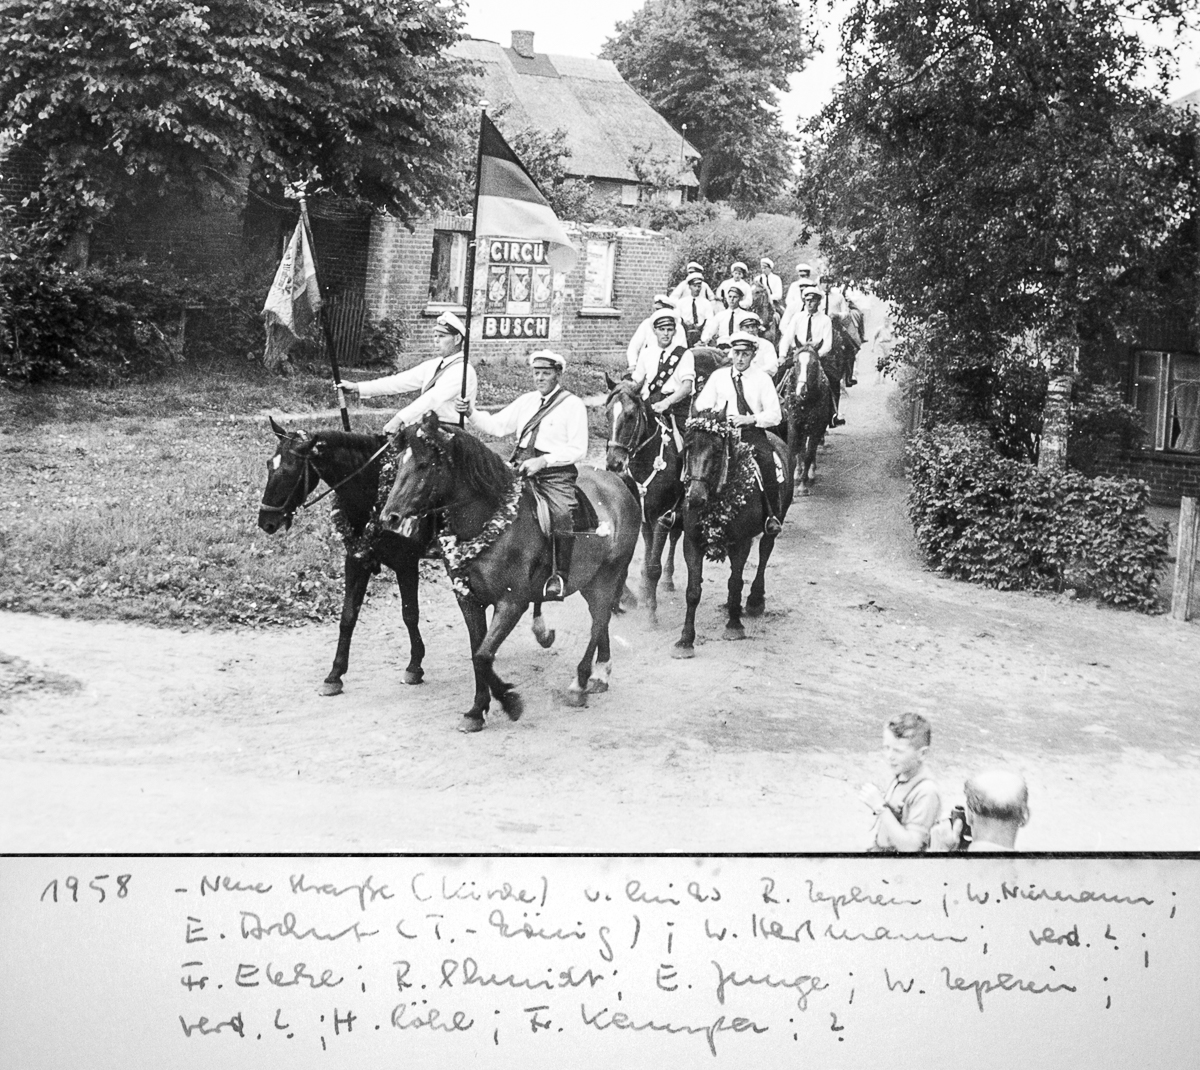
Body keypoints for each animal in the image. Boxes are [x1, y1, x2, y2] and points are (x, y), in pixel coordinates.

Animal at [258, 412, 432, 695]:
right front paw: (335, 674)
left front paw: (415, 665)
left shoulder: (407, 564)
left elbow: (410, 614)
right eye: (268, 465)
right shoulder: (357, 560)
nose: (266, 521)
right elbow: (348, 616)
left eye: (289, 470)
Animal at [384, 412, 648, 729]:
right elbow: (477, 653)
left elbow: (483, 655)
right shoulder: (468, 600)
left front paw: (509, 702)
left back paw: (581, 682)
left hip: (609, 574)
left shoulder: (511, 603)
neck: (489, 521)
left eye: (424, 464)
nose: (390, 517)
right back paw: (600, 672)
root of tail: (618, 482)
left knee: (599, 620)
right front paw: (477, 710)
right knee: (602, 619)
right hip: (590, 580)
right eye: (399, 462)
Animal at [672, 412, 792, 657]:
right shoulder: (691, 542)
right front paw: (686, 639)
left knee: (764, 553)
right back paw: (731, 605)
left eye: (718, 451)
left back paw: (754, 600)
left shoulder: (742, 542)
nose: (695, 497)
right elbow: (693, 591)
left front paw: (734, 626)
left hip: (776, 521)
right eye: (688, 447)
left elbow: (736, 582)